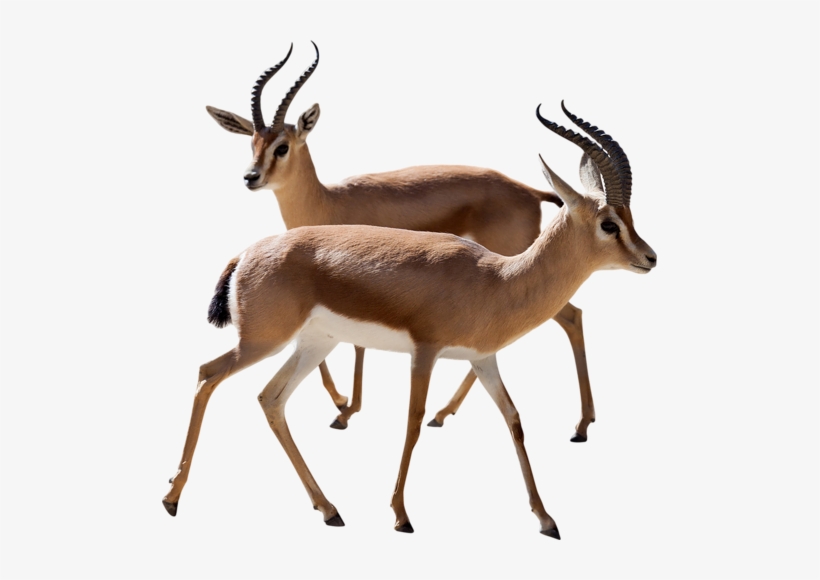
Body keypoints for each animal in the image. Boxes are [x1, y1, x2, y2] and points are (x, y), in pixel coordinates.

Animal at [163, 103, 657, 537]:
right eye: (609, 224)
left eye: (630, 217)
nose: (650, 258)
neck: (496, 280)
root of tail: (247, 252)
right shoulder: (426, 351)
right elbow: (413, 420)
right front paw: (401, 515)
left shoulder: (483, 360)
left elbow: (514, 419)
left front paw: (546, 519)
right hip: (263, 341)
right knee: (208, 374)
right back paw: (172, 498)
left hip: (313, 344)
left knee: (270, 398)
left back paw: (330, 509)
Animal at [206, 43, 598, 441]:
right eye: (252, 142)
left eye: (282, 147)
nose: (251, 177)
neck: (327, 200)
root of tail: (529, 190)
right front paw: (341, 403)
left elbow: (356, 345)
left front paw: (345, 409)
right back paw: (446, 413)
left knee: (570, 317)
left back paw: (578, 425)